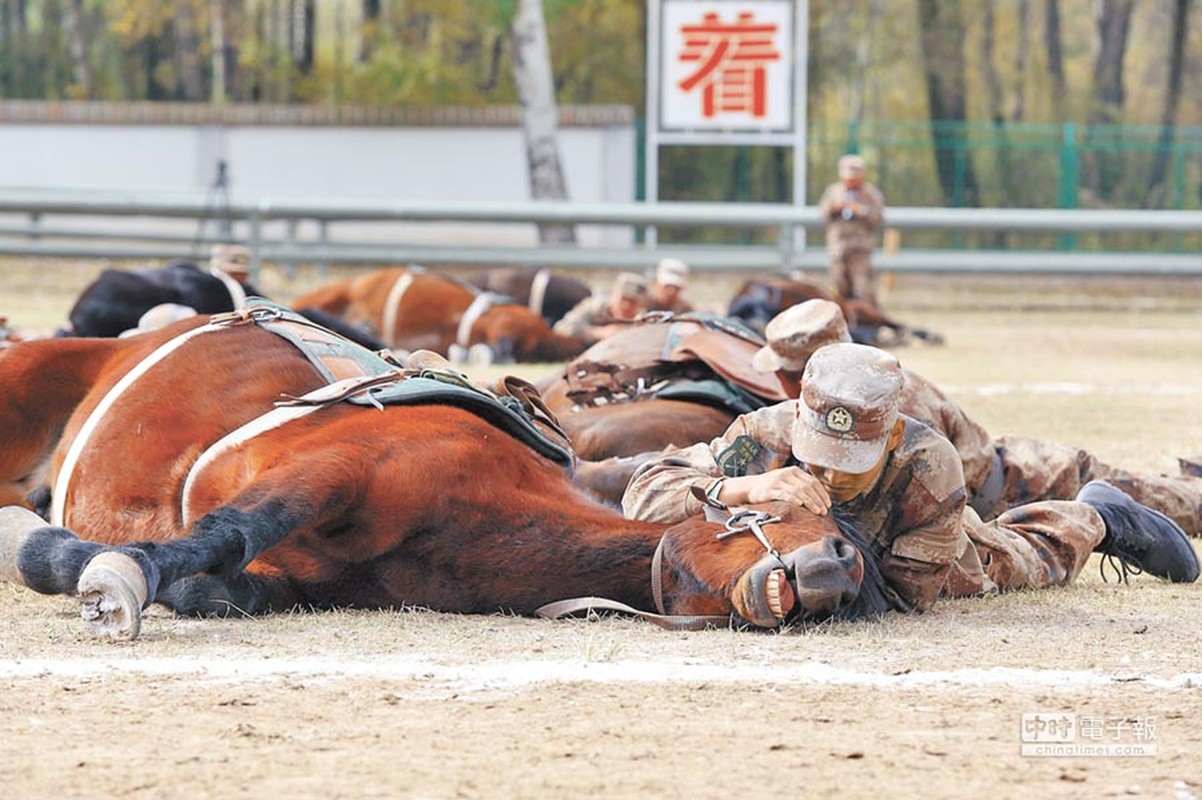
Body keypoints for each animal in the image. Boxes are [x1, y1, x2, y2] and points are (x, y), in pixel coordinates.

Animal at [0, 302, 884, 639]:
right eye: (803, 509)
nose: (842, 568)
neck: (469, 517)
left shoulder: (305, 580)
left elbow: (216, 587)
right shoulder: (332, 466)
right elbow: (226, 531)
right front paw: (91, 569)